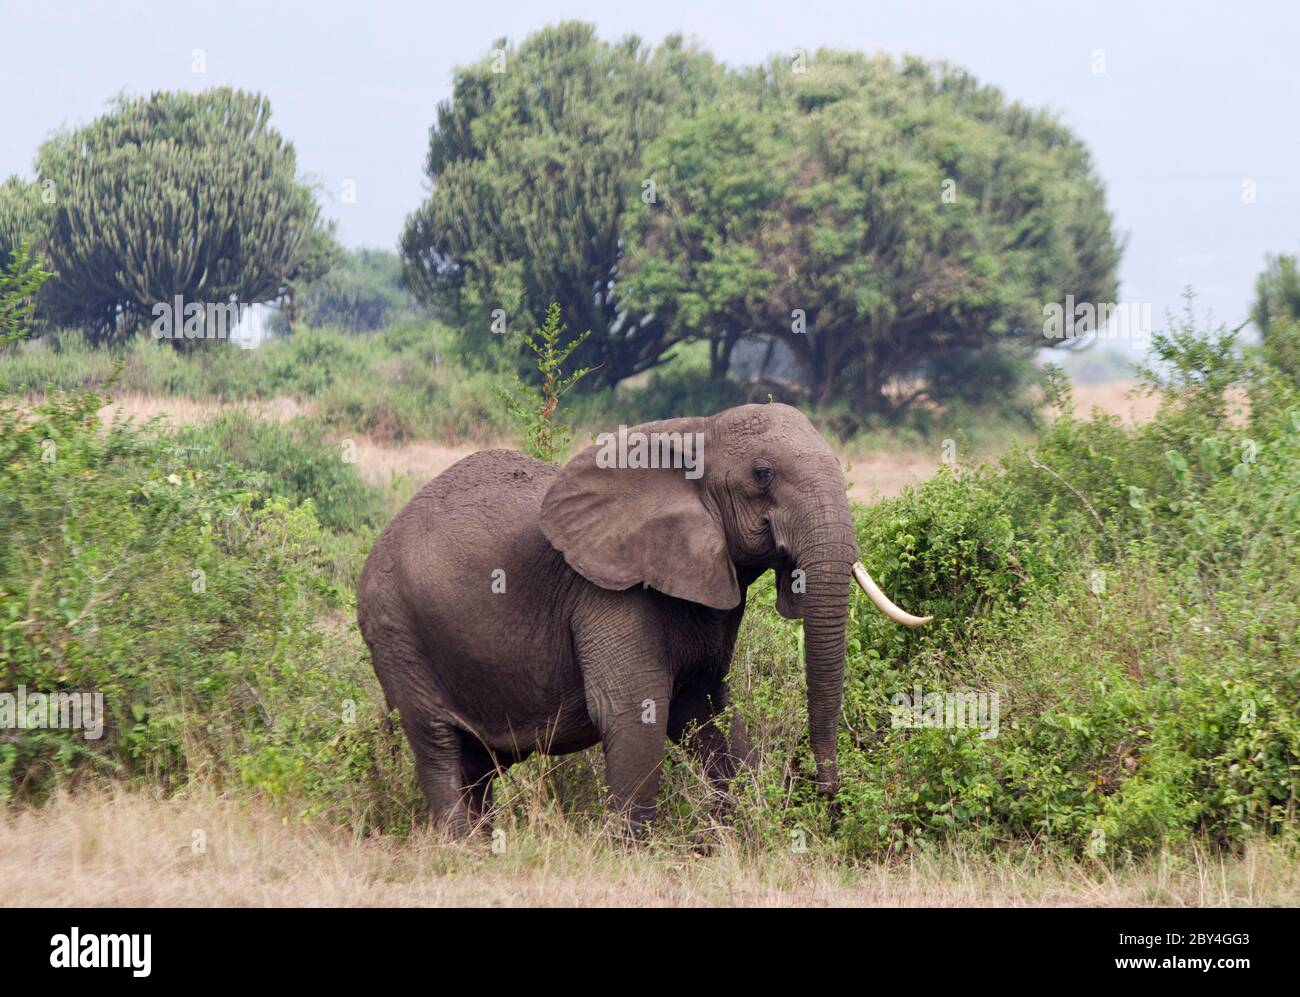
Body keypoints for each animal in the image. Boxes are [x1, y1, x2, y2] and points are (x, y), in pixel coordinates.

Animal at [356, 402, 925, 831]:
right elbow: (635, 712)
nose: (825, 789)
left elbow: (705, 709)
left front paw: (743, 833)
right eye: (762, 475)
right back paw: (463, 850)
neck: (698, 431)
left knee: (475, 763)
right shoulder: (606, 592)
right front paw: (631, 855)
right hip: (396, 631)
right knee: (437, 745)